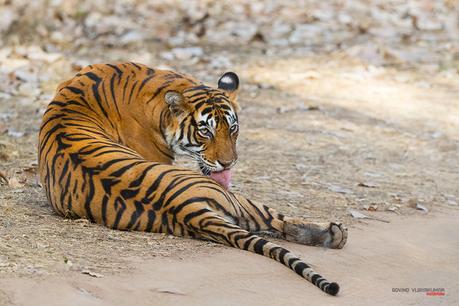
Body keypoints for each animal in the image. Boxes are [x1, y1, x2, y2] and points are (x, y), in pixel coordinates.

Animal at [38, 61, 348, 294]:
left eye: (232, 129)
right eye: (205, 131)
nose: (228, 162)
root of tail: (187, 209)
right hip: (237, 200)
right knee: (279, 222)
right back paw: (336, 234)